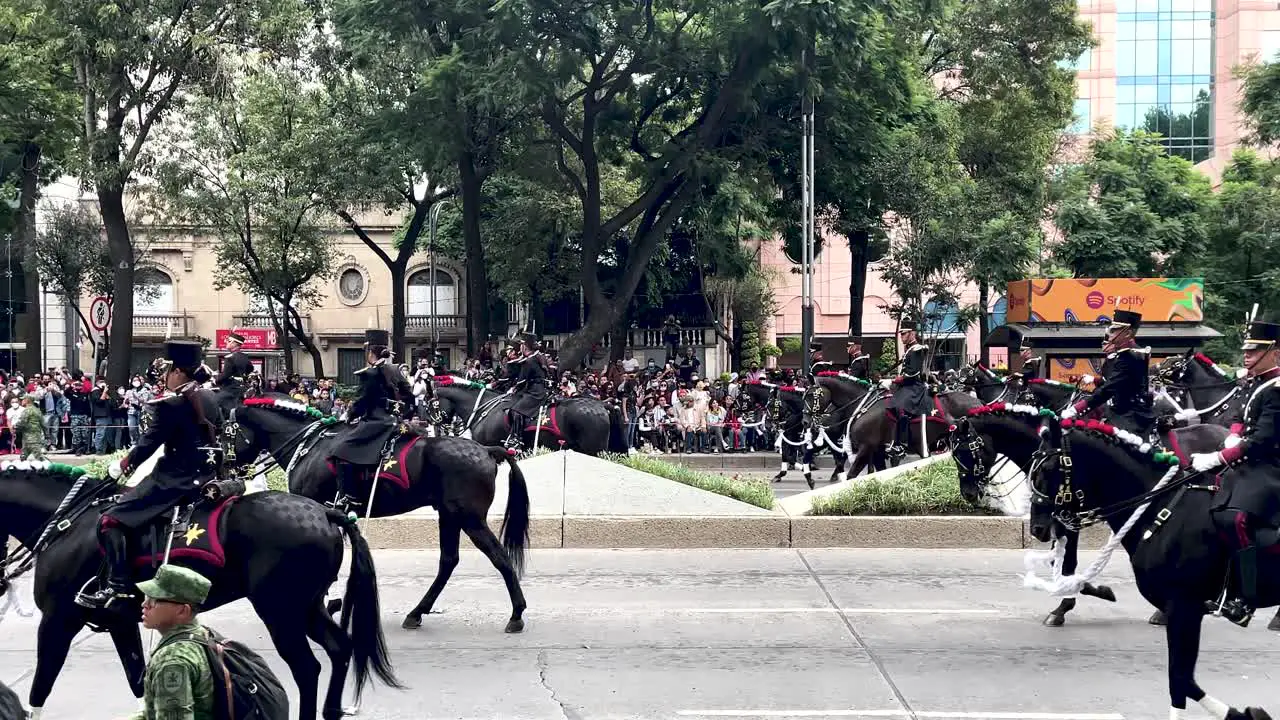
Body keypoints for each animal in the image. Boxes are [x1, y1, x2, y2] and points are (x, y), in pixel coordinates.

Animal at [0, 458, 396, 717]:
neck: (65, 522)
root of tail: (326, 512)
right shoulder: (121, 624)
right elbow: (139, 682)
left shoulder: (58, 621)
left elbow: (41, 685)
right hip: (307, 607)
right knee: (339, 648)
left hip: (280, 612)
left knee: (307, 668)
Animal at [225, 394, 529, 630]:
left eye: (226, 431)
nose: (225, 466)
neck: (309, 447)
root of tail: (487, 450)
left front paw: (326, 604)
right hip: (450, 515)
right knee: (448, 561)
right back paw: (417, 613)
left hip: (469, 518)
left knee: (499, 558)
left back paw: (516, 614)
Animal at [1029, 415, 1280, 717]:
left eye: (1049, 467)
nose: (1037, 528)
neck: (1162, 508)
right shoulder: (1184, 609)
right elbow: (1184, 683)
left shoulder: (1184, 606)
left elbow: (1180, 681)